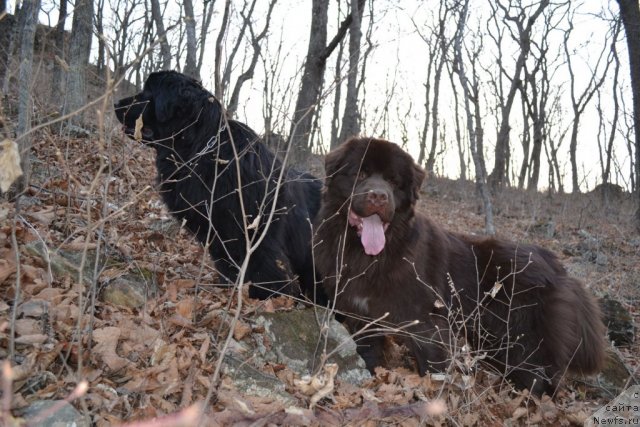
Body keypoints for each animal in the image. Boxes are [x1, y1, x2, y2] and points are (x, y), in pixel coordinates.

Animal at [115, 71, 322, 300]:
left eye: (147, 93)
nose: (115, 103)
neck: (201, 149)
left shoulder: (255, 232)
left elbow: (265, 264)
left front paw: (266, 294)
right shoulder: (218, 233)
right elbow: (227, 264)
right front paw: (230, 288)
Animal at [316, 138, 604, 398]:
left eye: (393, 182)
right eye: (361, 174)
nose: (378, 196)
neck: (370, 255)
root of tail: (556, 263)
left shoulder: (427, 325)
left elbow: (432, 365)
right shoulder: (360, 315)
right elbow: (368, 352)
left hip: (524, 341)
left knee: (539, 379)